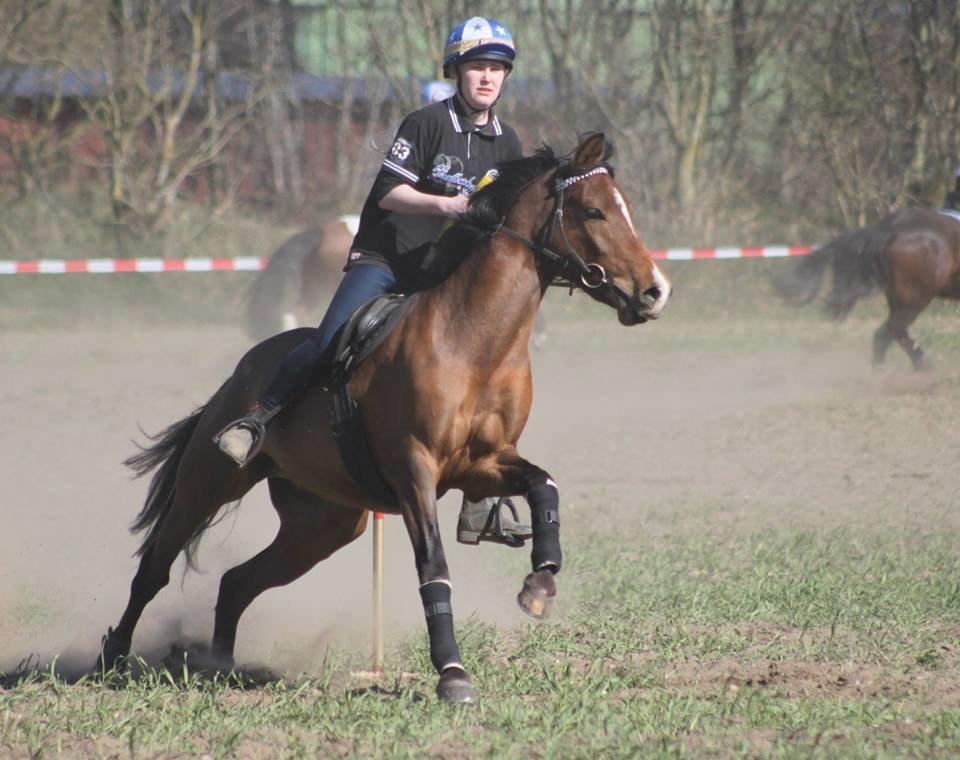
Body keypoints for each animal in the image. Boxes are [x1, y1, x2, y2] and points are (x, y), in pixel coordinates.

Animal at [95, 132, 668, 708]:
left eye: (625, 209)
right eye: (593, 211)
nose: (654, 290)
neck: (475, 339)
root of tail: (242, 371)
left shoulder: (484, 463)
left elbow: (544, 486)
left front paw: (540, 585)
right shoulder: (415, 470)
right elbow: (433, 566)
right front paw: (452, 671)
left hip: (323, 524)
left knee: (237, 582)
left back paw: (219, 666)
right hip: (208, 483)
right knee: (154, 569)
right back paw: (113, 655)